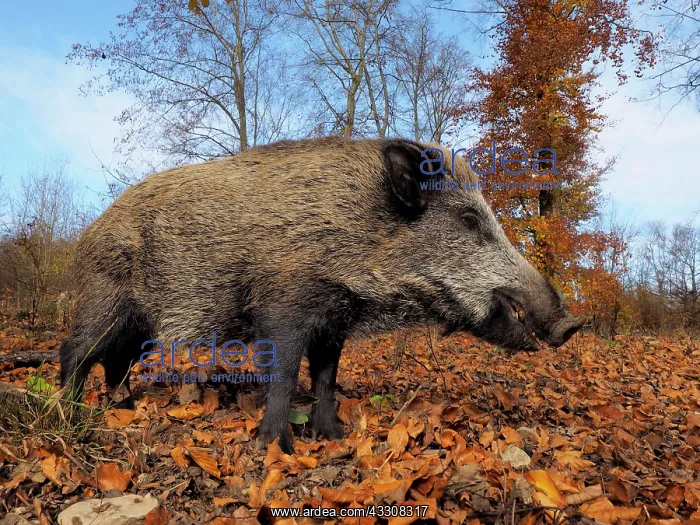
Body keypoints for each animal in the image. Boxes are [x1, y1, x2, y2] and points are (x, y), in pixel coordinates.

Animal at [59, 137, 585, 453]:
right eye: (470, 220)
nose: (573, 323)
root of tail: (86, 234)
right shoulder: (285, 306)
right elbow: (286, 374)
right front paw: (275, 446)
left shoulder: (335, 321)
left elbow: (327, 377)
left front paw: (333, 437)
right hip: (104, 298)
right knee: (75, 352)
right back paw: (70, 412)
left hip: (139, 324)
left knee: (117, 360)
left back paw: (123, 409)